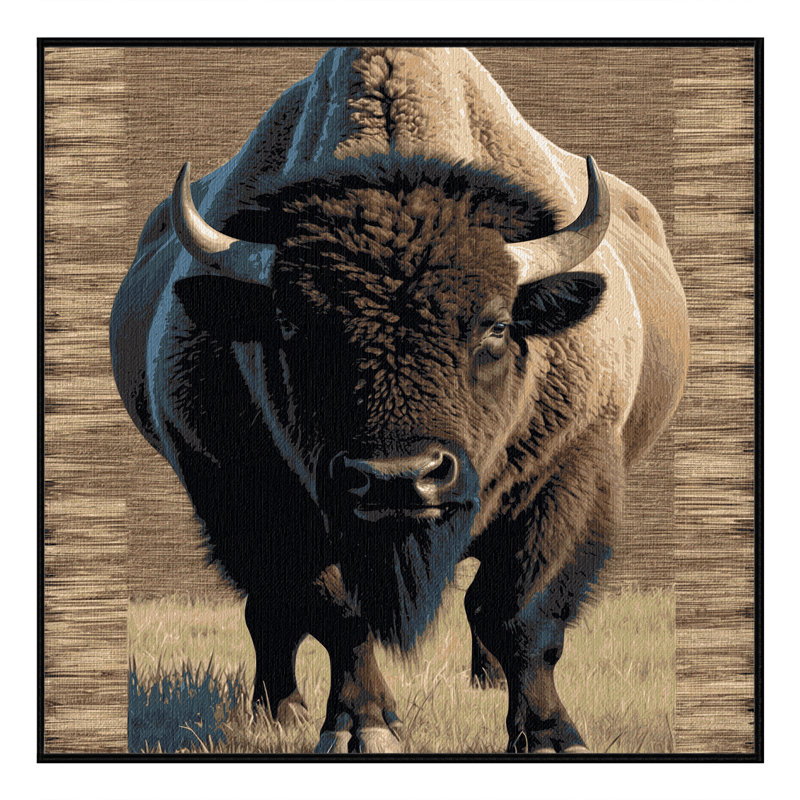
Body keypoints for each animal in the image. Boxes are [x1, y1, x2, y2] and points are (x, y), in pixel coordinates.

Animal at [111, 47, 689, 753]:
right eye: (292, 326)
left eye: (497, 325)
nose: (398, 478)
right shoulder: (247, 493)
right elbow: (332, 609)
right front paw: (362, 728)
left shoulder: (570, 471)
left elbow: (521, 613)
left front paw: (554, 737)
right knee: (268, 610)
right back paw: (278, 711)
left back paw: (483, 683)